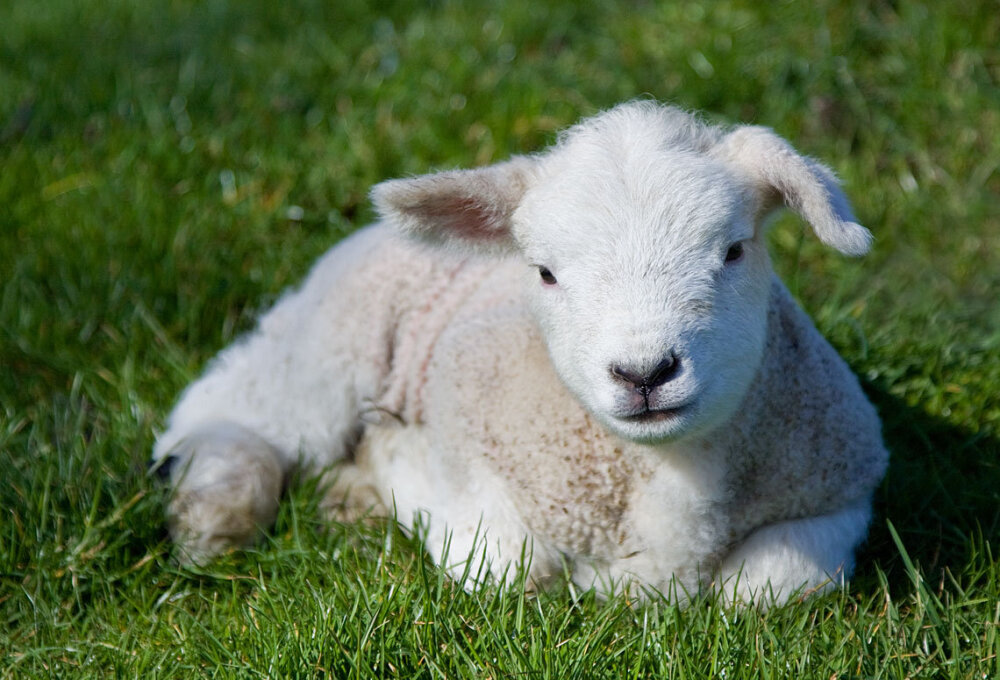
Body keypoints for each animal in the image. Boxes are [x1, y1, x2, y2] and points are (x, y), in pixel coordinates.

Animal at [154, 102, 892, 604]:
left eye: (735, 250)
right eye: (545, 273)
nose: (644, 372)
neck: (667, 473)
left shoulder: (840, 493)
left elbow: (766, 588)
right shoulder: (470, 442)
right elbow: (504, 568)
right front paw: (387, 463)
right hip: (332, 342)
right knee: (231, 408)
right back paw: (214, 513)